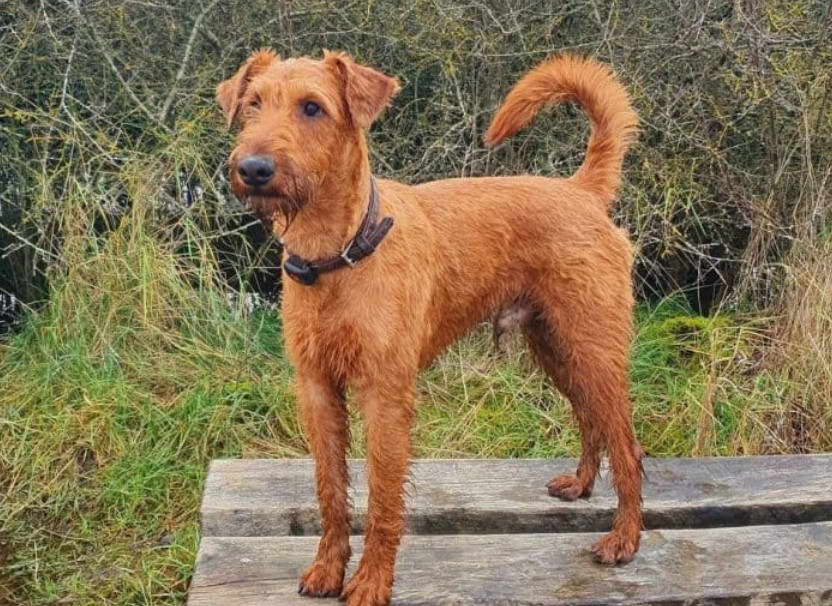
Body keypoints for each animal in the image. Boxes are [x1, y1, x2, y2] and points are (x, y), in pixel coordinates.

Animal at [218, 48, 640, 606]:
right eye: (252, 104)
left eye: (312, 108)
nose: (253, 168)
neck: (339, 254)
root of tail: (582, 191)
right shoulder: (316, 388)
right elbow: (330, 488)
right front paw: (329, 569)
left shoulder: (386, 393)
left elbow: (382, 497)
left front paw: (371, 582)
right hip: (557, 348)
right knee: (592, 421)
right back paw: (581, 485)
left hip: (593, 347)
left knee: (627, 445)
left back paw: (624, 540)